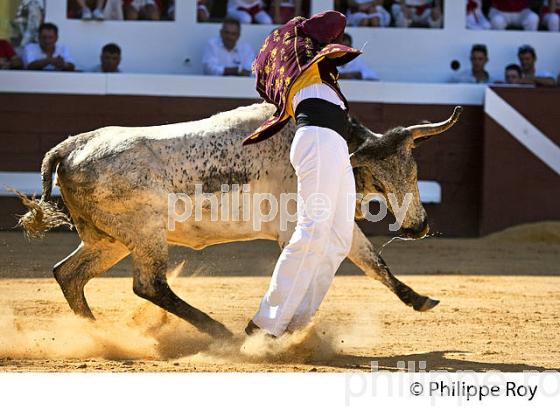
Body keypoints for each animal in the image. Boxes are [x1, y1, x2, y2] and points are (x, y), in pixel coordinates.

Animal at [18, 101, 464, 336]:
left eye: (413, 169)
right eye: (378, 177)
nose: (419, 226)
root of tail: (72, 145)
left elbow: (376, 264)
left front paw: (420, 300)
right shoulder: (302, 229)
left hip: (108, 240)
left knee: (69, 273)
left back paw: (94, 332)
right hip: (145, 234)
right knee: (149, 284)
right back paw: (220, 331)